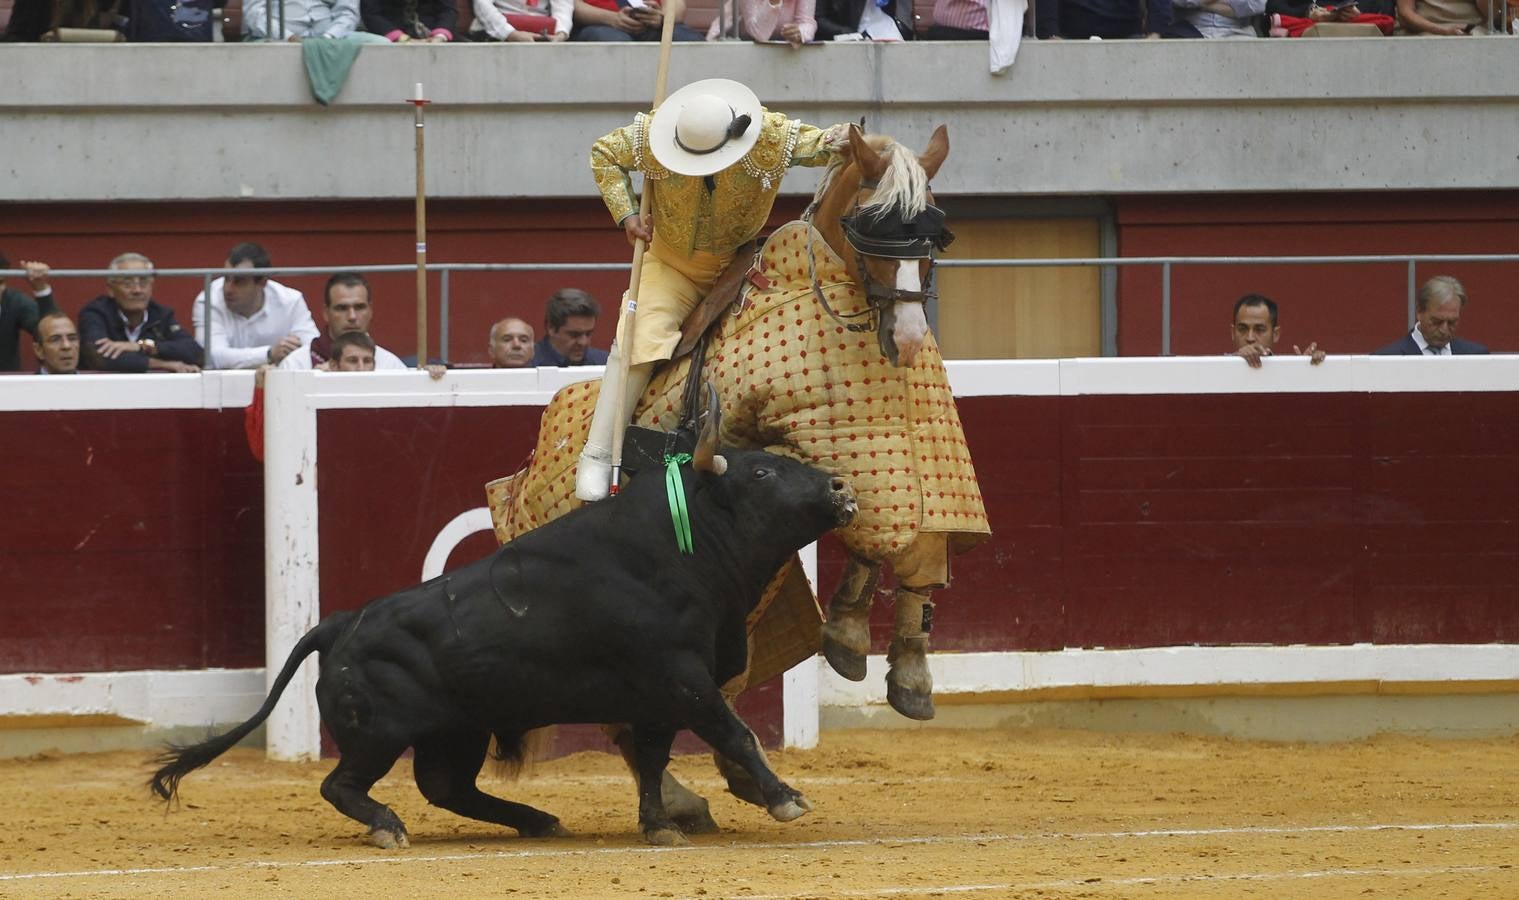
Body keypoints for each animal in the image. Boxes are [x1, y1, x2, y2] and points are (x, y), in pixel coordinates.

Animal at [154, 431, 868, 845]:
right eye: (762, 475)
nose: (838, 484)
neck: (682, 548)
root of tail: (338, 622)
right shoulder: (682, 679)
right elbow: (736, 734)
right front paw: (786, 799)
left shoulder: (659, 697)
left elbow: (653, 760)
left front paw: (660, 827)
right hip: (380, 731)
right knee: (345, 786)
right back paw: (390, 828)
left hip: (458, 729)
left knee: (446, 786)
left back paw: (536, 820)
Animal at [483, 123, 984, 833]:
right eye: (868, 225)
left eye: (938, 234)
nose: (912, 336)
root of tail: (517, 485)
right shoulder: (814, 435)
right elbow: (876, 523)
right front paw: (850, 635)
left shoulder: (925, 462)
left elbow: (917, 542)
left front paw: (898, 668)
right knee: (635, 708)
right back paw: (681, 800)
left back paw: (719, 784)